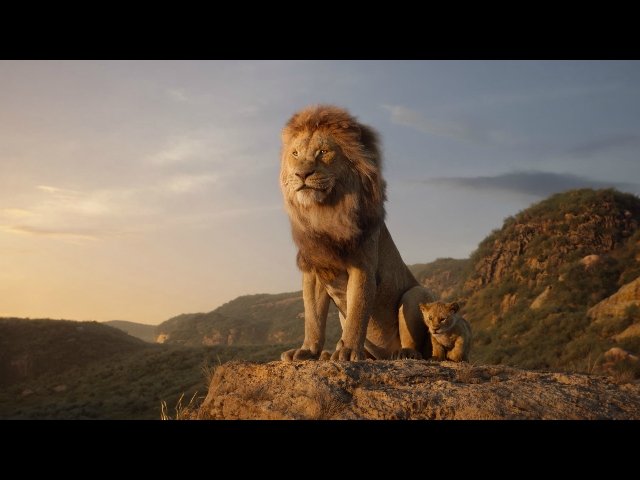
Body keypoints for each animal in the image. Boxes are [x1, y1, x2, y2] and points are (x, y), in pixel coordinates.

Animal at [279, 105, 435, 362]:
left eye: (323, 152)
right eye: (295, 154)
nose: (302, 174)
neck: (325, 212)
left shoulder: (362, 266)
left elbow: (357, 312)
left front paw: (348, 351)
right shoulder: (314, 270)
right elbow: (313, 317)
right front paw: (308, 351)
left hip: (416, 294)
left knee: (418, 345)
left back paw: (404, 353)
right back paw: (330, 354)